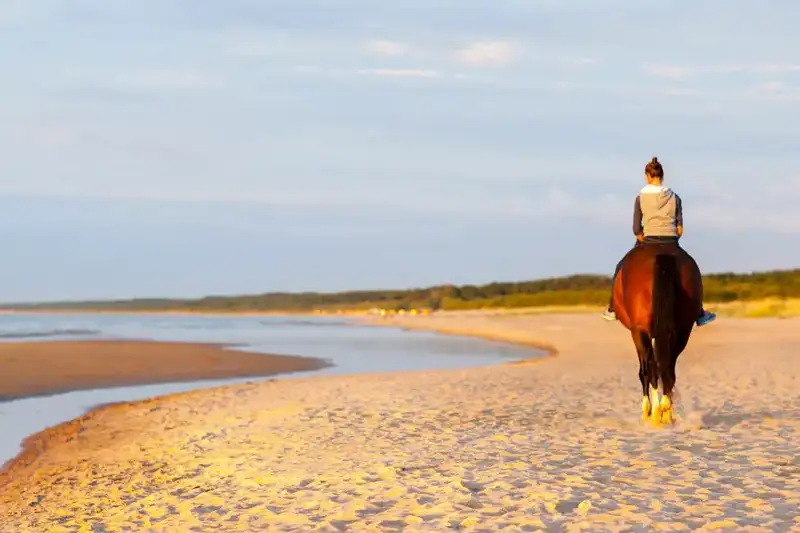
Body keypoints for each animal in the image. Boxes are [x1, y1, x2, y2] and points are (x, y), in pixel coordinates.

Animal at [611, 242, 703, 424]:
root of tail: (661, 253)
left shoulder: (638, 332)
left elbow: (644, 371)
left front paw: (647, 411)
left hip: (640, 331)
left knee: (651, 369)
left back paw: (654, 412)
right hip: (683, 330)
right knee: (668, 367)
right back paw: (666, 411)